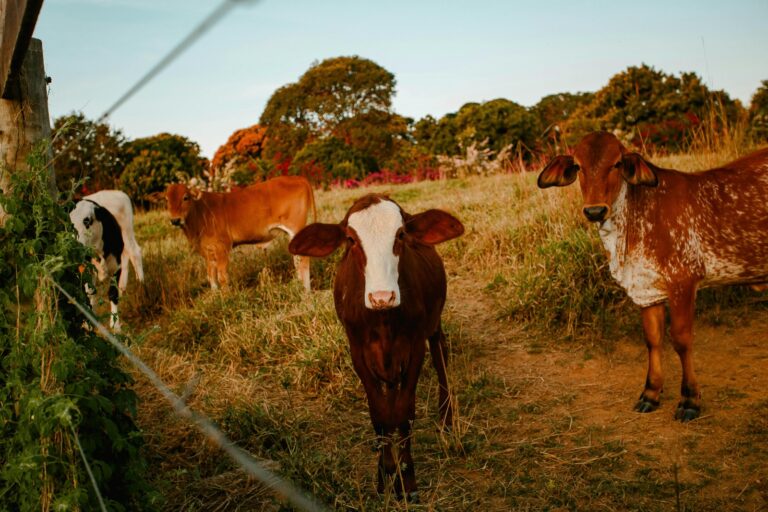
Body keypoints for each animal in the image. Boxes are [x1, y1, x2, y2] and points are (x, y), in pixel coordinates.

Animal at [70, 191, 144, 332]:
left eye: (87, 220)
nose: (74, 245)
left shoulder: (116, 267)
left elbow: (112, 294)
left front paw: (115, 326)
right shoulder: (86, 269)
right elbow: (90, 293)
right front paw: (88, 323)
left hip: (127, 231)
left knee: (134, 252)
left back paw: (141, 284)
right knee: (127, 257)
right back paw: (123, 288)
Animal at [165, 176, 316, 291]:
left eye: (185, 197)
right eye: (166, 200)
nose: (175, 220)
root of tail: (297, 178)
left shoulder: (222, 247)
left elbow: (222, 277)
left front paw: (226, 298)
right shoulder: (207, 252)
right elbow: (211, 277)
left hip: (296, 228)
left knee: (303, 259)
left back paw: (305, 290)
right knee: (297, 259)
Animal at [288, 194, 464, 499]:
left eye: (401, 234)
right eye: (350, 239)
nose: (382, 296)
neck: (383, 320)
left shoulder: (415, 347)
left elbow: (404, 413)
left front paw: (407, 480)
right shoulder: (358, 351)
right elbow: (380, 414)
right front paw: (385, 474)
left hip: (433, 325)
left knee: (440, 354)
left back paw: (446, 419)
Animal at [538, 131, 768, 421]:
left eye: (616, 164)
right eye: (578, 166)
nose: (594, 211)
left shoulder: (683, 280)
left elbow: (680, 340)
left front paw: (689, 399)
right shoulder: (645, 289)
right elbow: (653, 340)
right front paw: (651, 393)